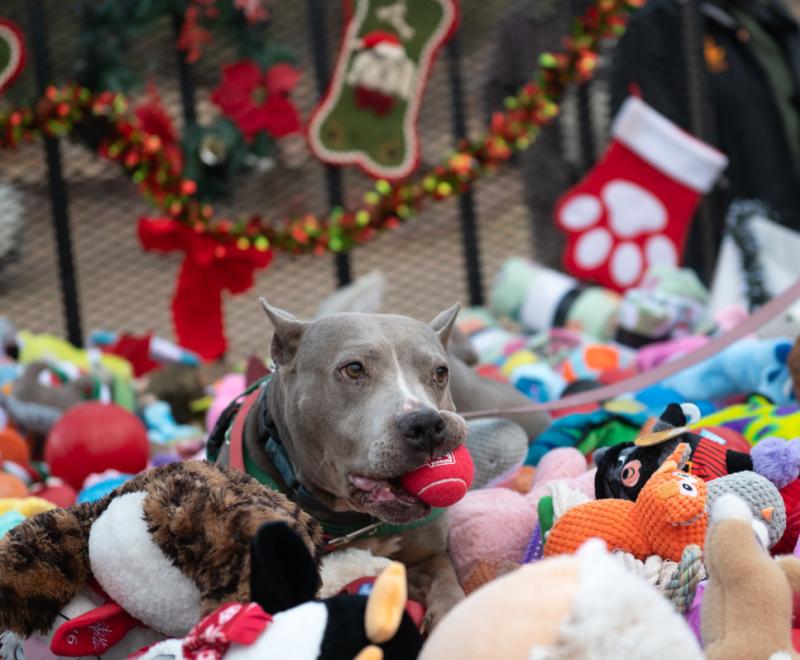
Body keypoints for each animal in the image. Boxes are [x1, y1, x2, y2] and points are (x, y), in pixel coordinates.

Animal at [214, 300, 476, 628]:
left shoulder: (429, 555)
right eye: (353, 369)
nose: (426, 424)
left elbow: (446, 579)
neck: (356, 523)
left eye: (441, 372)